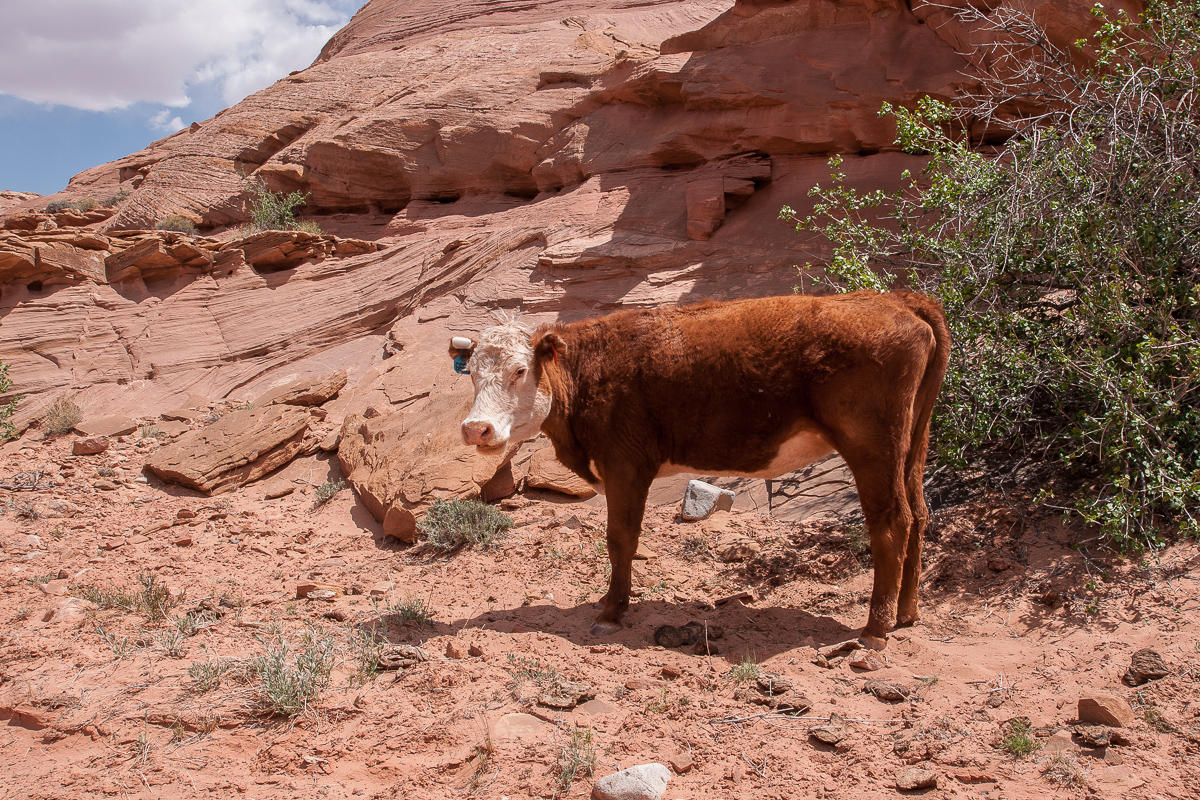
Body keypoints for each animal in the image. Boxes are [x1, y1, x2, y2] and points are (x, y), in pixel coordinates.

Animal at [451, 293, 945, 652]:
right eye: (471, 373)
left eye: (520, 370)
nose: (476, 429)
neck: (587, 372)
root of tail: (899, 300)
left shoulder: (626, 464)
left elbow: (620, 538)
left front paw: (612, 611)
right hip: (911, 445)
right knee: (920, 514)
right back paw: (906, 613)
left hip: (872, 445)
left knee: (892, 521)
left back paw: (875, 628)